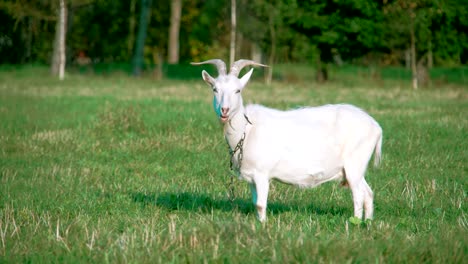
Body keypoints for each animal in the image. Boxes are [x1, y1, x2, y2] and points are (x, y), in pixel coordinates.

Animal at [192, 58, 382, 222]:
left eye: (238, 90)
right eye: (215, 89)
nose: (224, 110)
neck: (247, 130)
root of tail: (376, 127)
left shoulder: (262, 174)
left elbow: (260, 204)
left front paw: (263, 226)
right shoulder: (252, 177)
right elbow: (255, 203)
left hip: (354, 163)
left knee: (358, 195)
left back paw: (355, 222)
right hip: (355, 169)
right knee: (368, 193)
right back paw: (368, 222)